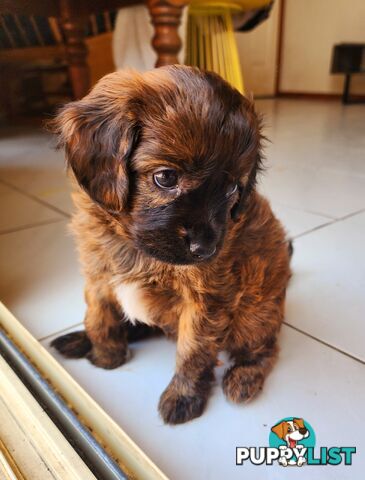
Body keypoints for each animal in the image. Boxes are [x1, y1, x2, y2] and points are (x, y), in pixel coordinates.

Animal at [49, 66, 292, 424]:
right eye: (165, 177)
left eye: (233, 188)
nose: (205, 249)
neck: (136, 249)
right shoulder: (97, 275)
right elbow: (99, 316)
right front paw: (107, 354)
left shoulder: (206, 302)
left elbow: (193, 351)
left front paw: (184, 397)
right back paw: (80, 340)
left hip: (256, 313)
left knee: (266, 347)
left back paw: (244, 378)